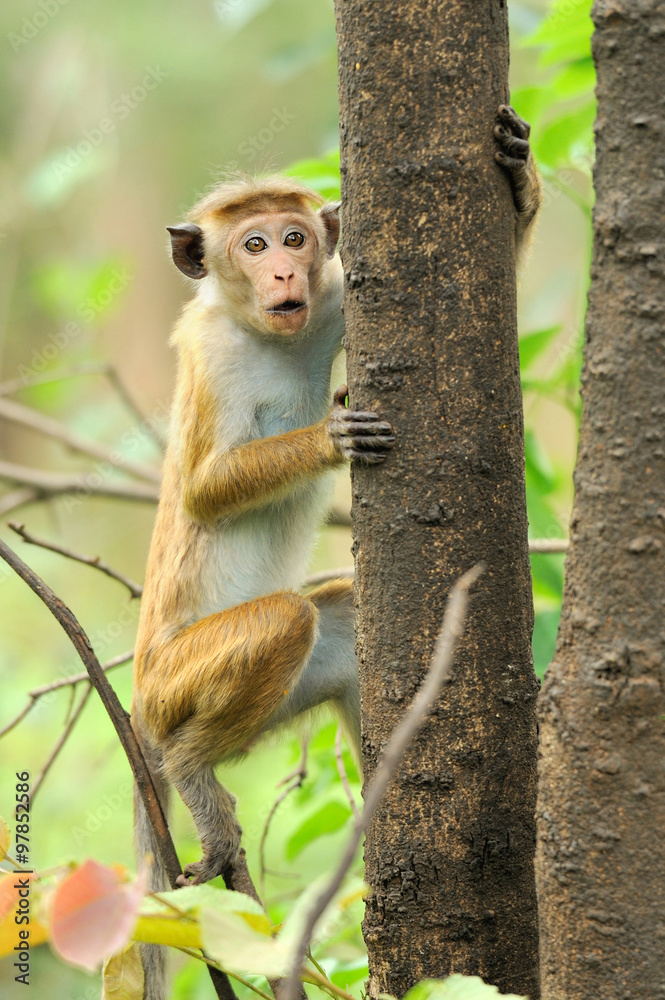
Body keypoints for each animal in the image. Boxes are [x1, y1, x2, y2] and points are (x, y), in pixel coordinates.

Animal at [131, 103, 540, 1000]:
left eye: (294, 238)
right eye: (253, 245)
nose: (284, 270)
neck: (265, 333)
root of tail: (139, 711)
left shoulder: (330, 300)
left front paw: (519, 173)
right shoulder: (211, 355)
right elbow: (203, 491)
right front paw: (332, 435)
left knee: (336, 621)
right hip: (173, 684)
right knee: (284, 620)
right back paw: (191, 770)